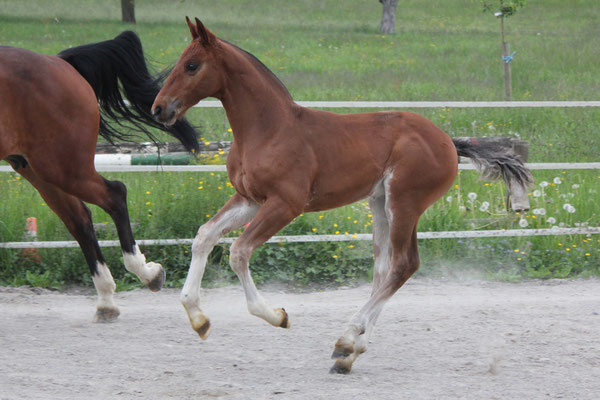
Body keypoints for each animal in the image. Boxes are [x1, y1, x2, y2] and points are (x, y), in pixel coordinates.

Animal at [1, 32, 200, 324]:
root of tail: (59, 62)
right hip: (38, 168)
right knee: (80, 219)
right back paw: (107, 300)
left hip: (62, 168)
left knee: (114, 195)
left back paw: (146, 275)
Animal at [152, 18, 532, 376]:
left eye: (192, 65)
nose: (158, 109)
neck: (269, 129)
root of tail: (449, 143)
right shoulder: (249, 198)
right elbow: (204, 236)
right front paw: (199, 319)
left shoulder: (285, 204)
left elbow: (239, 251)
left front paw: (277, 315)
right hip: (380, 203)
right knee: (383, 268)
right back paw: (351, 352)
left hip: (405, 203)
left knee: (404, 265)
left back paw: (347, 340)